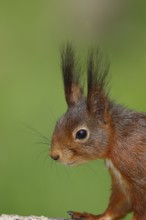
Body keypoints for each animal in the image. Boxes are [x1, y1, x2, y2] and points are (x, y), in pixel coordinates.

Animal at [49, 43, 146, 220]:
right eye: (58, 122)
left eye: (81, 134)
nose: (54, 155)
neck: (117, 139)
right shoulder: (121, 182)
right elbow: (117, 207)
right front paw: (92, 216)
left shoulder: (140, 175)